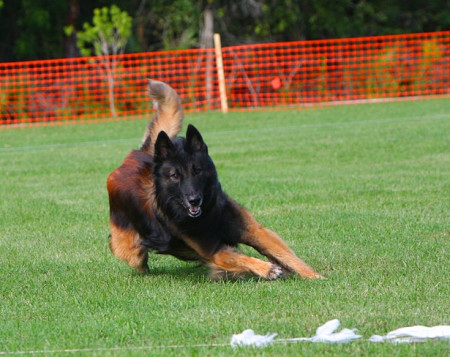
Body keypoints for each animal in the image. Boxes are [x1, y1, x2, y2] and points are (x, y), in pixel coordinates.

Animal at [107, 79, 322, 280]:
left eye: (197, 171)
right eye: (175, 176)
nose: (194, 200)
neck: (208, 215)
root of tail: (137, 155)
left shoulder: (255, 232)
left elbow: (289, 257)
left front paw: (315, 276)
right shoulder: (215, 251)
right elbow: (243, 258)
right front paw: (267, 269)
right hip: (131, 250)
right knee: (136, 258)